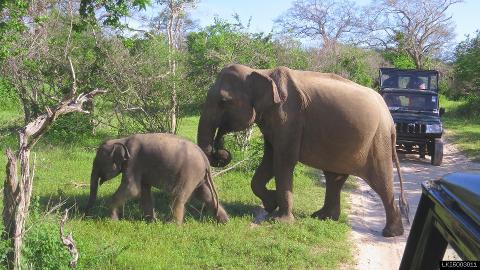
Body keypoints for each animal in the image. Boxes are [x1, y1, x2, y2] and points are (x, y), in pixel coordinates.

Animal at [85, 133, 230, 224]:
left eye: (98, 162)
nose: (85, 215)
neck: (122, 140)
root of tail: (205, 159)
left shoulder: (133, 162)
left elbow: (132, 188)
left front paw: (112, 221)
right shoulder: (141, 168)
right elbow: (143, 191)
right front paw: (150, 221)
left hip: (189, 173)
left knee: (178, 195)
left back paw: (171, 225)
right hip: (199, 176)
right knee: (205, 195)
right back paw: (224, 222)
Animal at [196, 63, 408, 236]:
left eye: (224, 101)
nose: (221, 152)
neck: (260, 72)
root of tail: (390, 120)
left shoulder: (289, 117)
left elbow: (283, 160)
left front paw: (280, 220)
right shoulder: (274, 120)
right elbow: (269, 160)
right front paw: (271, 203)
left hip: (377, 141)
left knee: (381, 181)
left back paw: (391, 233)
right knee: (334, 178)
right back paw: (323, 216)